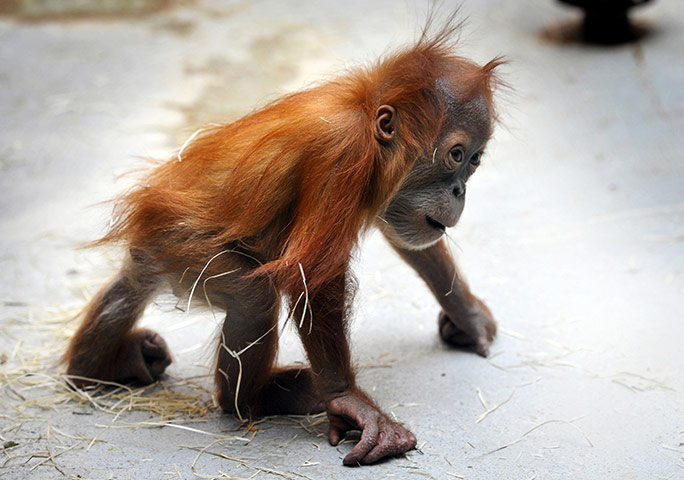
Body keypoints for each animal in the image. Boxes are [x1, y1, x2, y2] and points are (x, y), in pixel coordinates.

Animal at [64, 20, 501, 466]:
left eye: (475, 160)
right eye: (455, 154)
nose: (459, 191)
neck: (365, 114)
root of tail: (150, 211)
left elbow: (413, 241)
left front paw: (468, 317)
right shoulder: (342, 154)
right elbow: (314, 275)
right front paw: (348, 401)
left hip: (159, 250)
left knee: (128, 288)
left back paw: (104, 366)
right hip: (183, 244)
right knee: (253, 298)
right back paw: (257, 398)